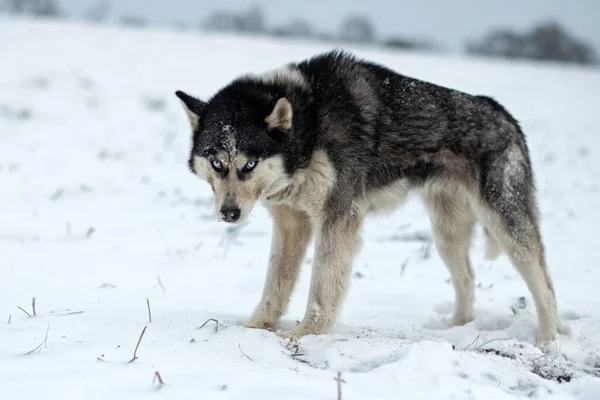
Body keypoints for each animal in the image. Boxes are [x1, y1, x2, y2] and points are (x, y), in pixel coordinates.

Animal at [176, 50, 560, 348]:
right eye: (217, 163)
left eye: (250, 163)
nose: (229, 213)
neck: (310, 124)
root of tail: (505, 116)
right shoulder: (291, 223)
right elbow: (275, 285)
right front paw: (254, 329)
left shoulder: (337, 219)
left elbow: (321, 289)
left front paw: (303, 336)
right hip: (447, 235)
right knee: (466, 278)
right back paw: (456, 330)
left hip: (507, 224)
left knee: (544, 284)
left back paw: (547, 343)